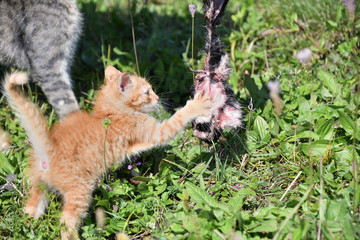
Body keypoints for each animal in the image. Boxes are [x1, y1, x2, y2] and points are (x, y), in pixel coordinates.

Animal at [4, 66, 212, 240]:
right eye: (147, 92)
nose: (157, 98)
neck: (111, 113)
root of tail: (48, 149)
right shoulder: (156, 131)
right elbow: (178, 119)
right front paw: (198, 104)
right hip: (80, 190)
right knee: (65, 222)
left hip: (39, 186)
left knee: (30, 209)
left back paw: (29, 228)